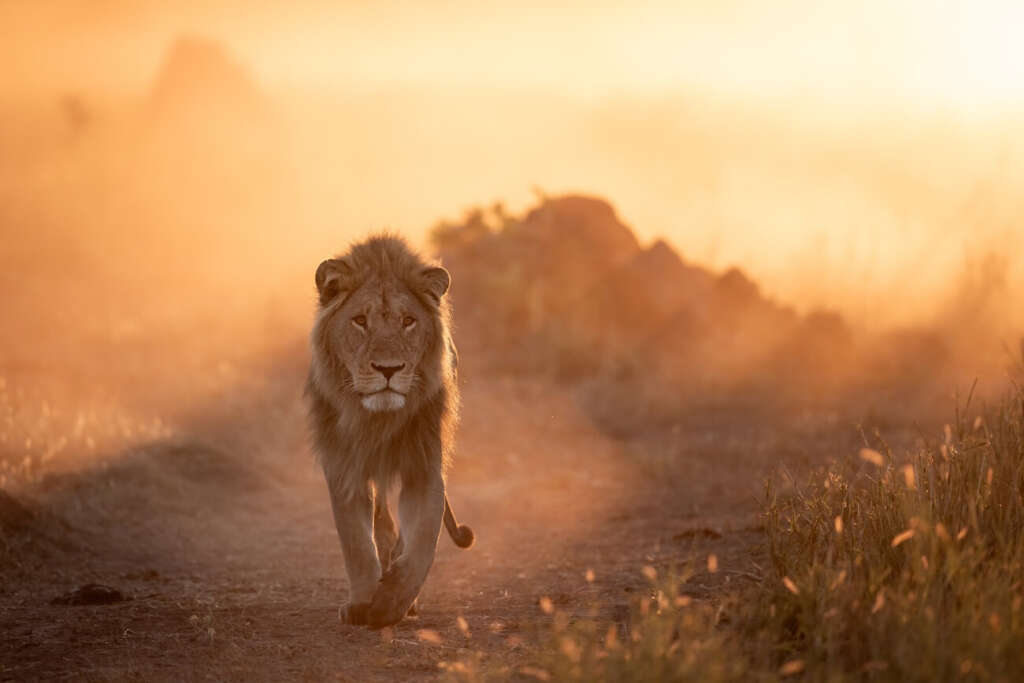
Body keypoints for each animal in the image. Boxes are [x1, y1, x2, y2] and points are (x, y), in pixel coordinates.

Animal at [306, 235, 474, 628]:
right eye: (360, 321)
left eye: (409, 321)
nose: (388, 369)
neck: (377, 421)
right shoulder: (343, 468)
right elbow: (355, 541)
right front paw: (362, 603)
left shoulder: (424, 466)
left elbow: (423, 541)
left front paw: (391, 604)